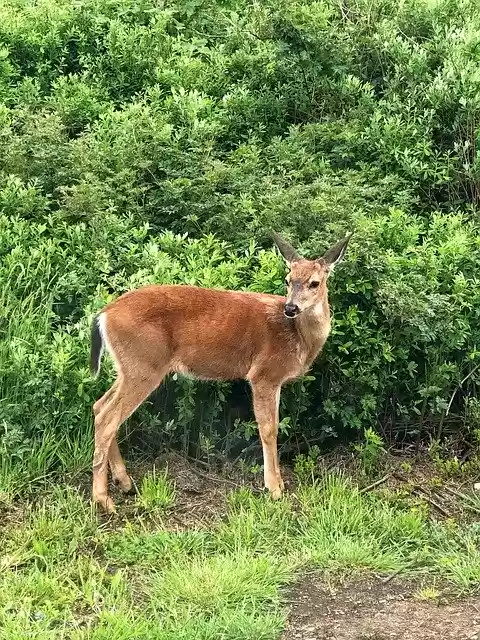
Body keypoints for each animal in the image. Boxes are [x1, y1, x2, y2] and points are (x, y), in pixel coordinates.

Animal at [89, 232, 351, 513]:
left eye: (314, 283)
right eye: (288, 279)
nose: (291, 308)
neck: (297, 337)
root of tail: (104, 314)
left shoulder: (275, 380)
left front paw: (279, 483)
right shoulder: (263, 373)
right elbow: (269, 428)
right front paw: (274, 489)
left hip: (129, 367)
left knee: (99, 406)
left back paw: (124, 482)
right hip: (144, 365)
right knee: (107, 417)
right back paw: (103, 499)